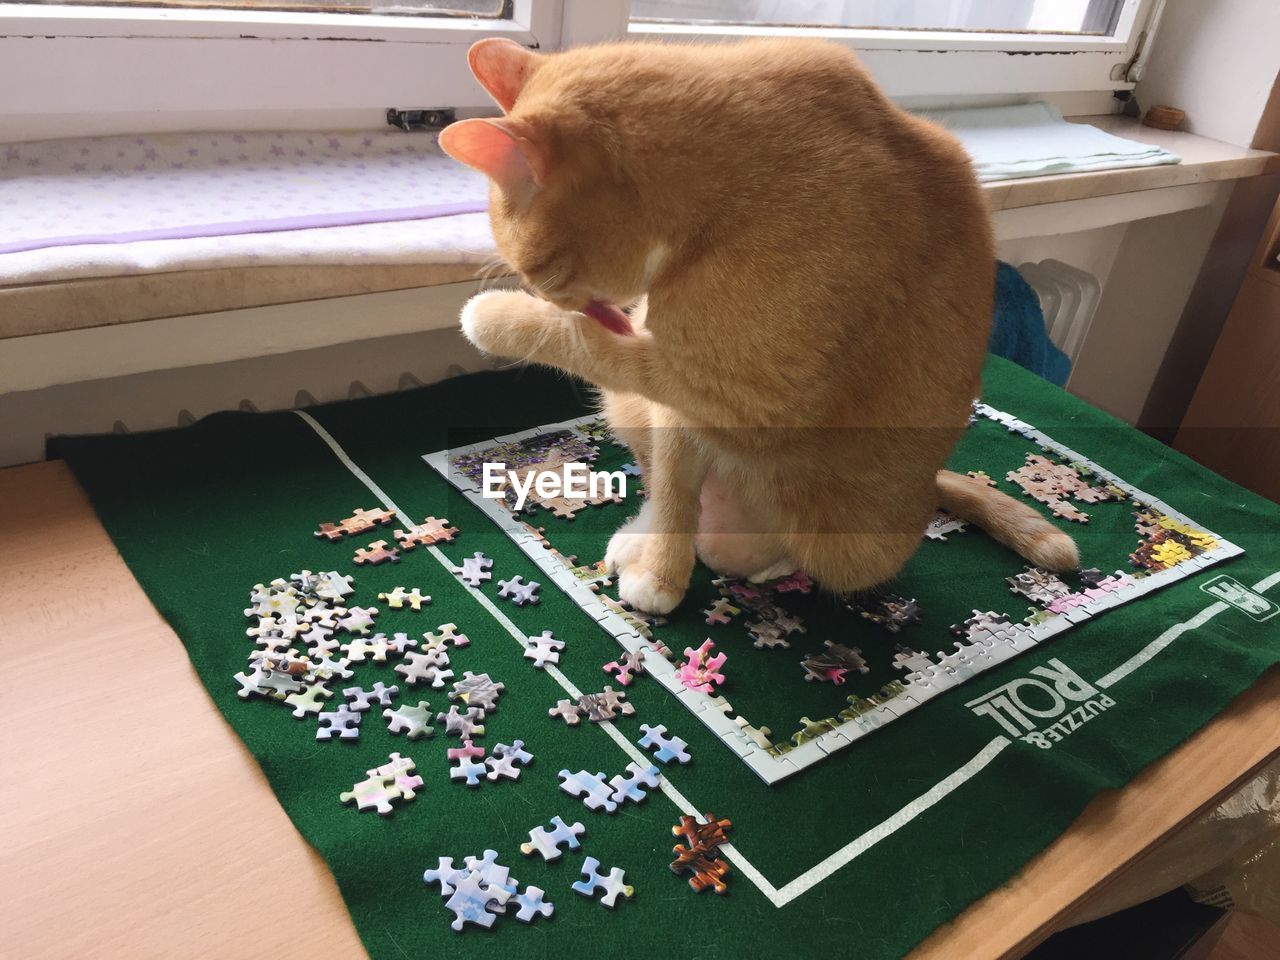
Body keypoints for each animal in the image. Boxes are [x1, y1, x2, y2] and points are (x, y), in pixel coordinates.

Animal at [442, 37, 1080, 616]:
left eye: (542, 270)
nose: (555, 296)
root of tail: (928, 489)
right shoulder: (678, 404)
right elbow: (672, 489)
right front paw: (660, 569)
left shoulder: (737, 397)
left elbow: (587, 344)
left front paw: (492, 315)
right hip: (630, 408)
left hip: (853, 548)